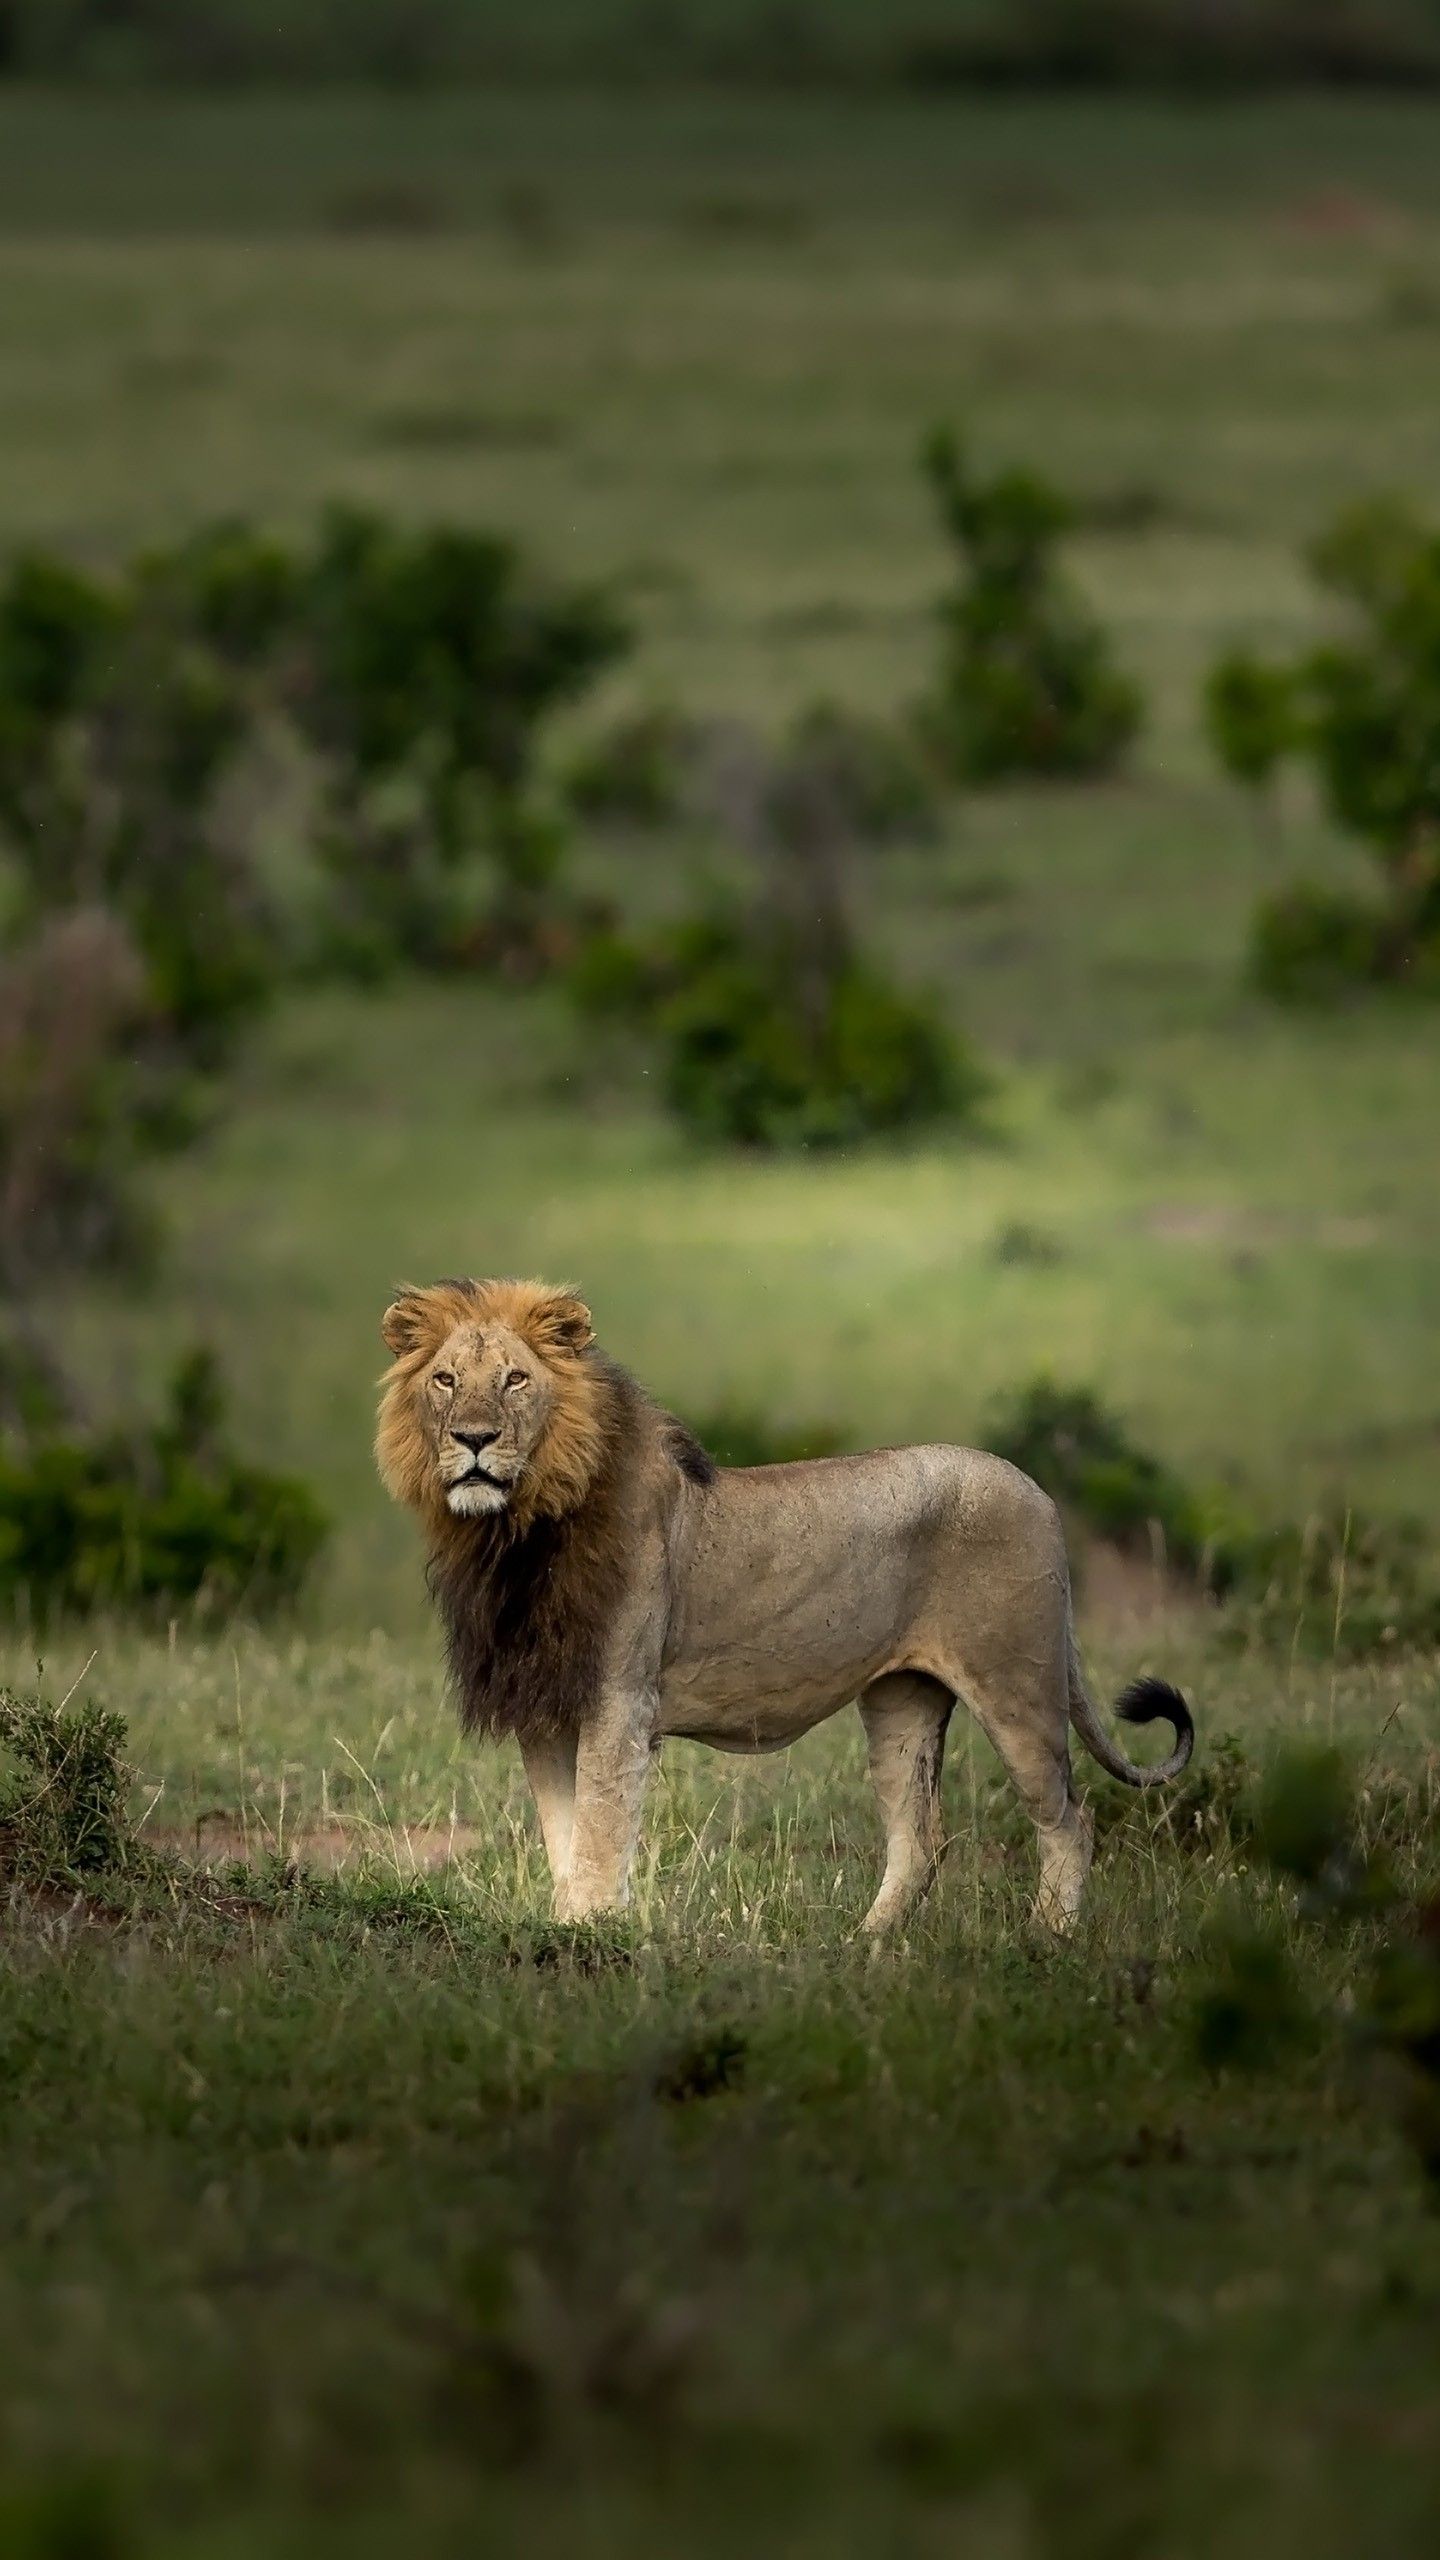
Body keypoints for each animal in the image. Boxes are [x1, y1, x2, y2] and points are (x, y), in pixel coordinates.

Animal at [376, 1277, 1194, 1934]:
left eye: (515, 1379)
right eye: (445, 1379)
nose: (473, 1439)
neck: (516, 1532)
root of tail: (1039, 1491)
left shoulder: (618, 1703)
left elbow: (600, 1842)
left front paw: (588, 1943)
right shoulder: (546, 1712)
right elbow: (565, 1843)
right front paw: (566, 1932)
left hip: (1017, 1684)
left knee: (1068, 1822)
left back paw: (1046, 1940)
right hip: (902, 1702)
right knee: (919, 1842)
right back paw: (864, 1954)